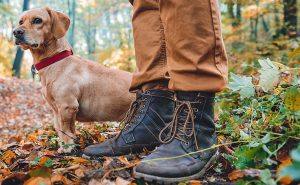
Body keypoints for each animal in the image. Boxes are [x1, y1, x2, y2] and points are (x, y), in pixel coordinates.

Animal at [12, 7, 135, 152]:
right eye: (20, 21)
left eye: (37, 20)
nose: (16, 32)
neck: (56, 62)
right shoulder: (56, 111)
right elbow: (61, 130)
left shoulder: (67, 106)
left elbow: (66, 131)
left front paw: (67, 148)